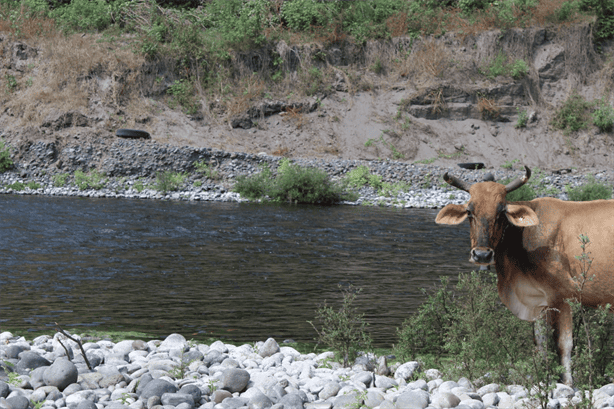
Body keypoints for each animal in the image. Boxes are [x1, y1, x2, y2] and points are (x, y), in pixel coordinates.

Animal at [436, 165, 614, 382]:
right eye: (470, 211)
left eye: (501, 211)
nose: (482, 254)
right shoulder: (539, 301)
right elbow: (540, 343)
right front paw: (544, 378)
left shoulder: (562, 296)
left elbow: (563, 344)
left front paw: (568, 383)